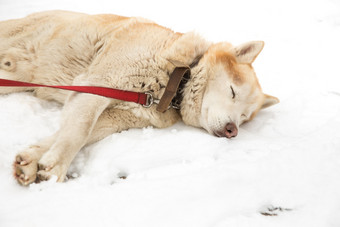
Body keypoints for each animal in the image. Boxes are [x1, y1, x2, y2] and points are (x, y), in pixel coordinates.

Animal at [0, 10, 278, 185]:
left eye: (244, 117)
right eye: (232, 91)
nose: (233, 130)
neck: (172, 80)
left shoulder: (115, 116)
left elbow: (73, 134)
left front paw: (32, 161)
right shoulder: (97, 84)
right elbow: (79, 130)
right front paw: (57, 167)